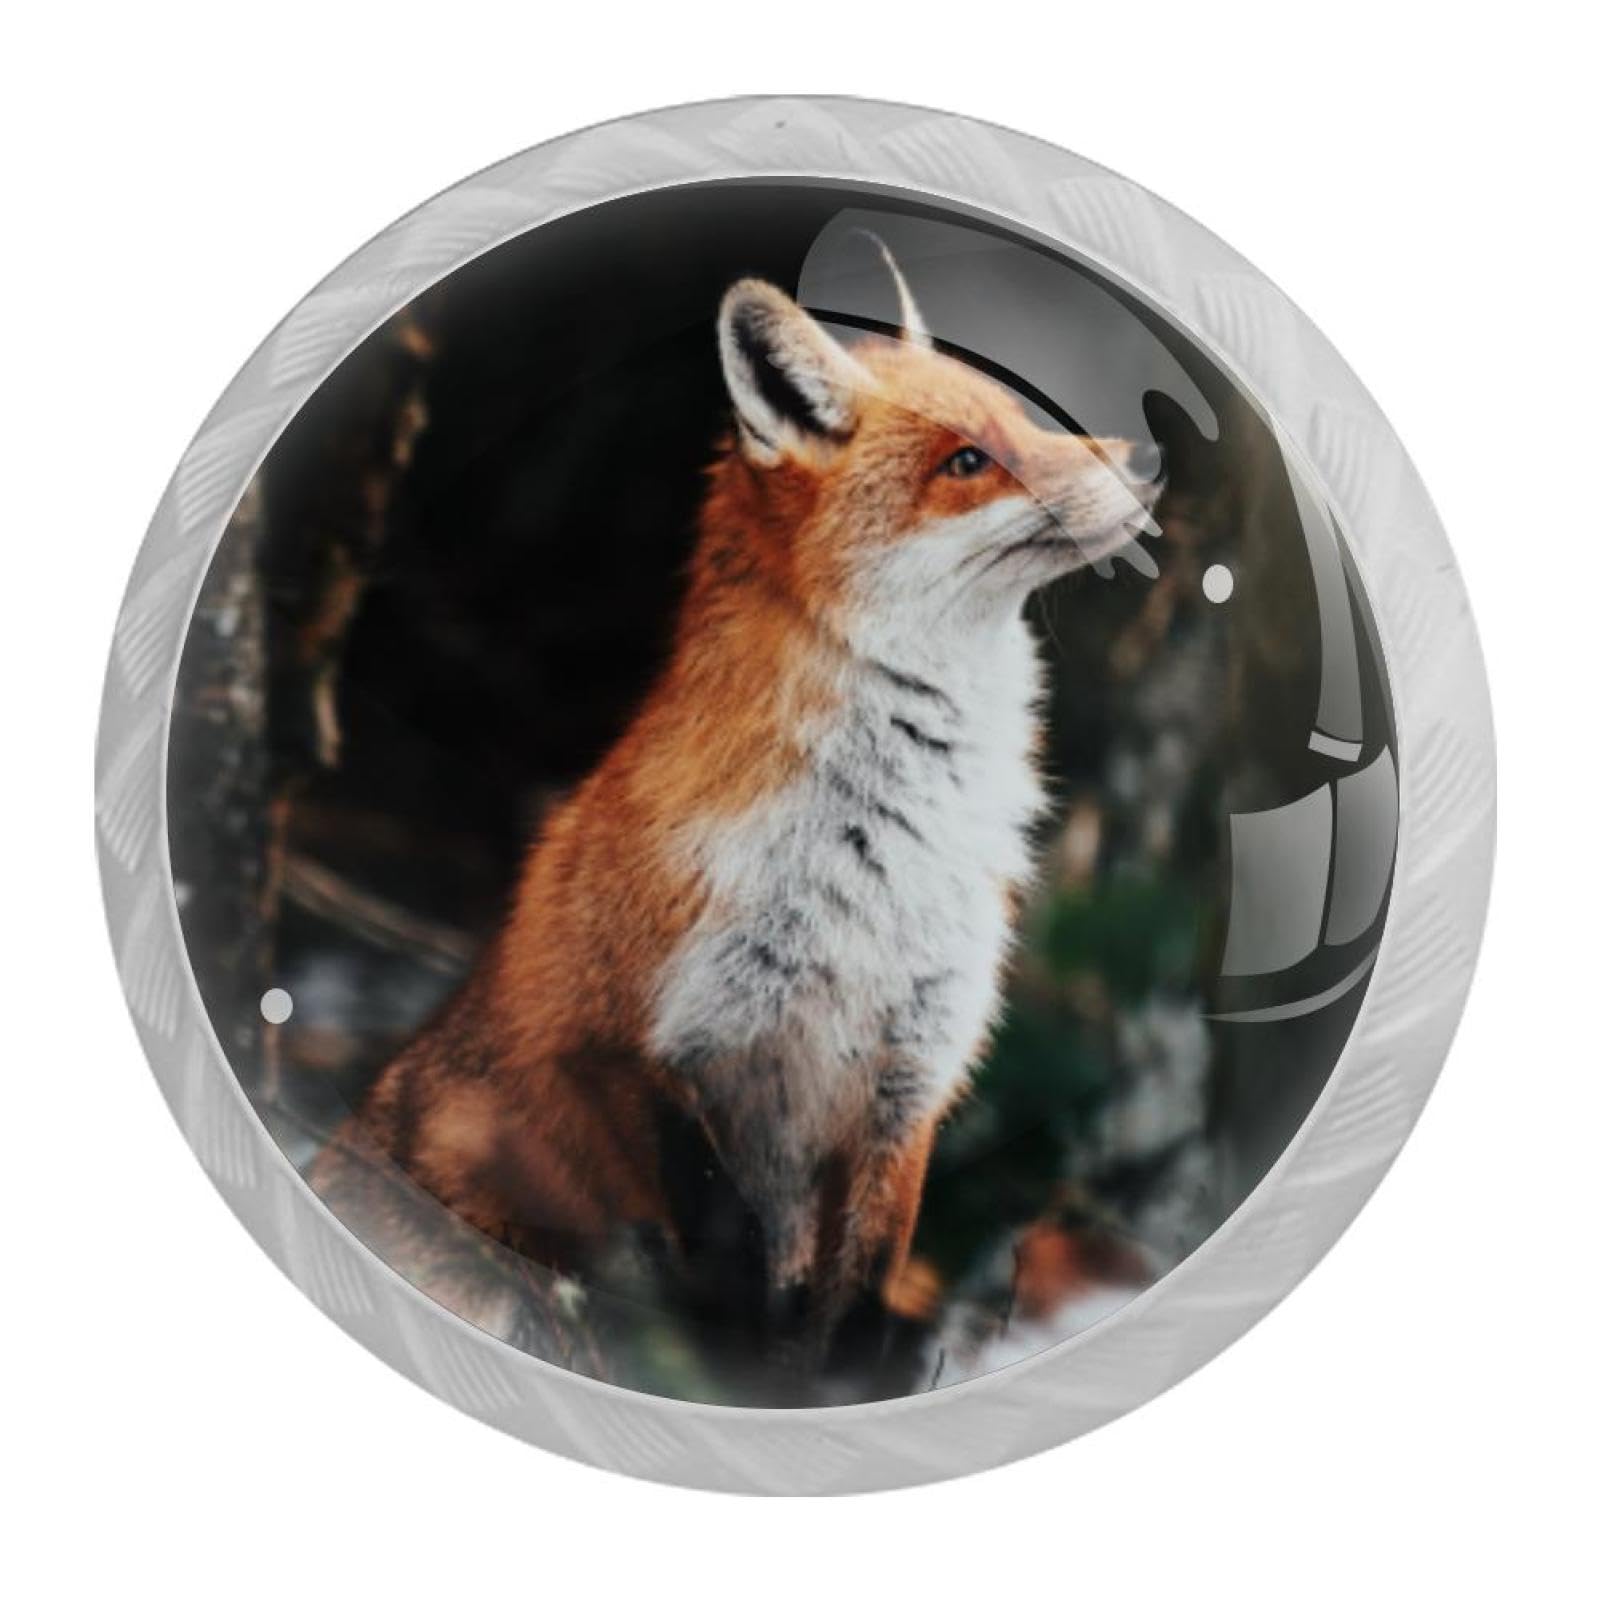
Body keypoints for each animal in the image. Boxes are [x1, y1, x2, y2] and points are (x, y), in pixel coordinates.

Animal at [313, 248, 1161, 1376]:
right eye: (968, 460)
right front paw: (739, 1386)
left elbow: (848, 1314)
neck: (877, 858)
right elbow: (730, 1296)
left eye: (1022, 418)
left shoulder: (908, 1077)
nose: (1143, 456)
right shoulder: (641, 1050)